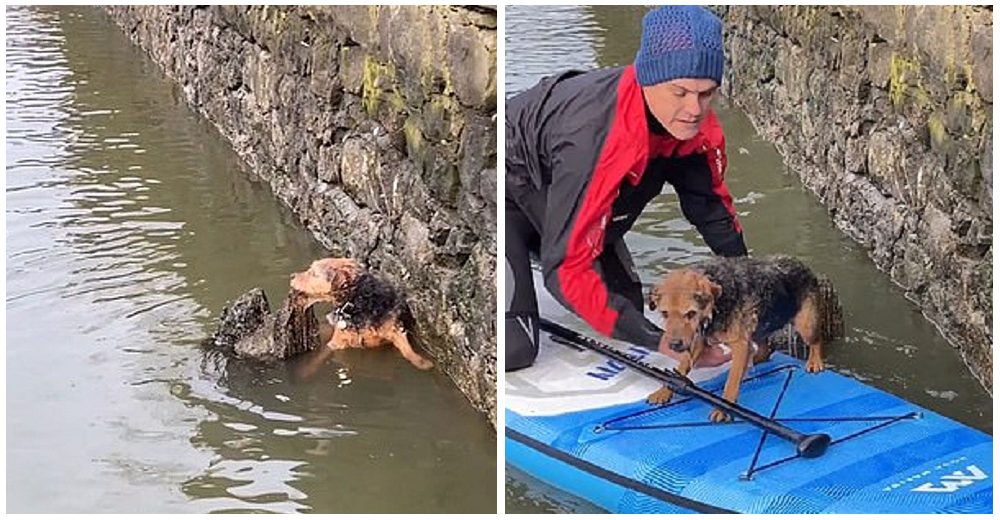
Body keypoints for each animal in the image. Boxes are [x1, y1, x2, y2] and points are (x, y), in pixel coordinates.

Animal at [288, 256, 432, 370]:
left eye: (314, 273)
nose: (292, 276)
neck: (357, 302)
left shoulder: (394, 329)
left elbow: (407, 350)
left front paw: (423, 362)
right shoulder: (338, 339)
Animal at [644, 256, 840, 422]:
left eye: (691, 313)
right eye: (664, 313)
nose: (674, 345)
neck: (717, 306)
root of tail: (801, 264)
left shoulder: (739, 346)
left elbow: (731, 382)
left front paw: (723, 409)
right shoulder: (698, 339)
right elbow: (681, 367)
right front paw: (664, 391)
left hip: (805, 325)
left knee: (816, 341)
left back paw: (815, 362)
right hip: (760, 326)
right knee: (765, 347)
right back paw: (757, 359)